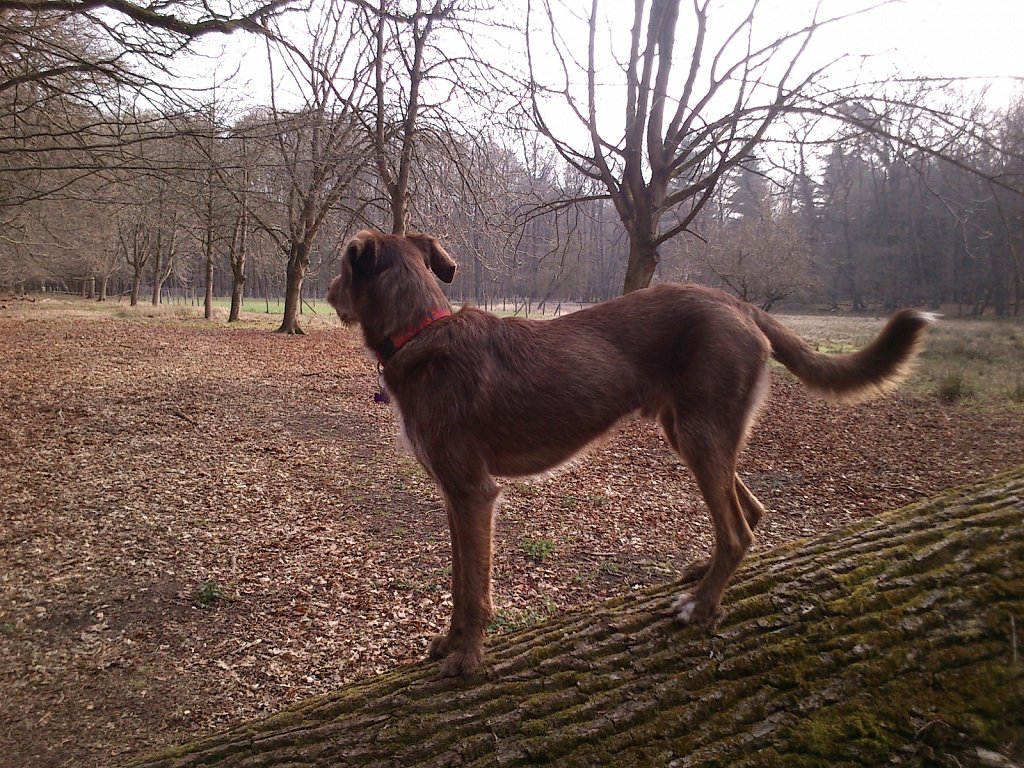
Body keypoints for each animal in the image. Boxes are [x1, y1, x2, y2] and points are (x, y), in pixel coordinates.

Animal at [327, 230, 937, 679]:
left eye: (341, 268)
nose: (328, 293)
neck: (419, 333)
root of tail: (736, 302)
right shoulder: (455, 496)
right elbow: (459, 581)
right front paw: (449, 643)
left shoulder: (474, 493)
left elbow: (475, 590)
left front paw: (468, 660)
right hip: (690, 431)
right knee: (750, 512)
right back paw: (705, 574)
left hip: (699, 432)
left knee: (738, 530)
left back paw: (701, 607)